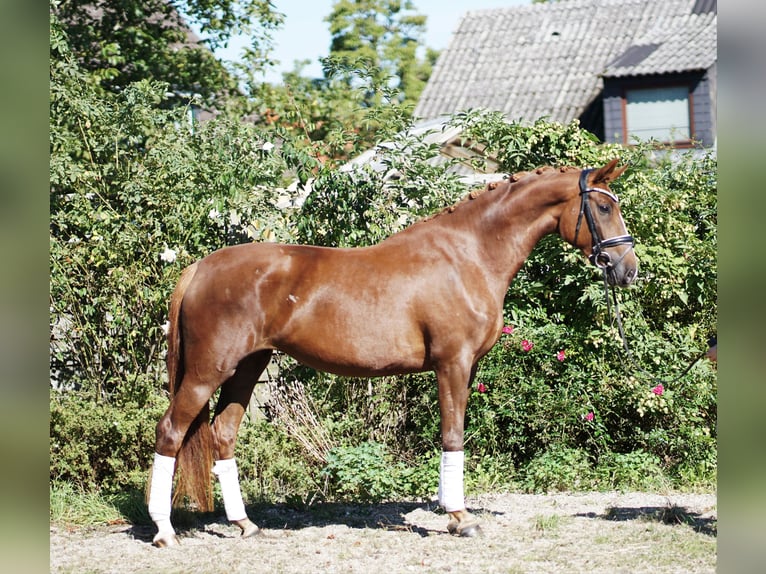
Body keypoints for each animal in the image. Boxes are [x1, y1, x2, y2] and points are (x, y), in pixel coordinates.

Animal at [147, 160, 640, 548]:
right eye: (603, 207)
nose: (628, 270)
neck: (469, 254)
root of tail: (200, 267)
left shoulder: (465, 366)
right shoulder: (453, 364)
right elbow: (452, 436)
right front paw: (460, 518)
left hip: (248, 366)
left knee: (223, 433)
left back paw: (245, 524)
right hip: (207, 371)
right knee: (171, 430)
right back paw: (165, 532)